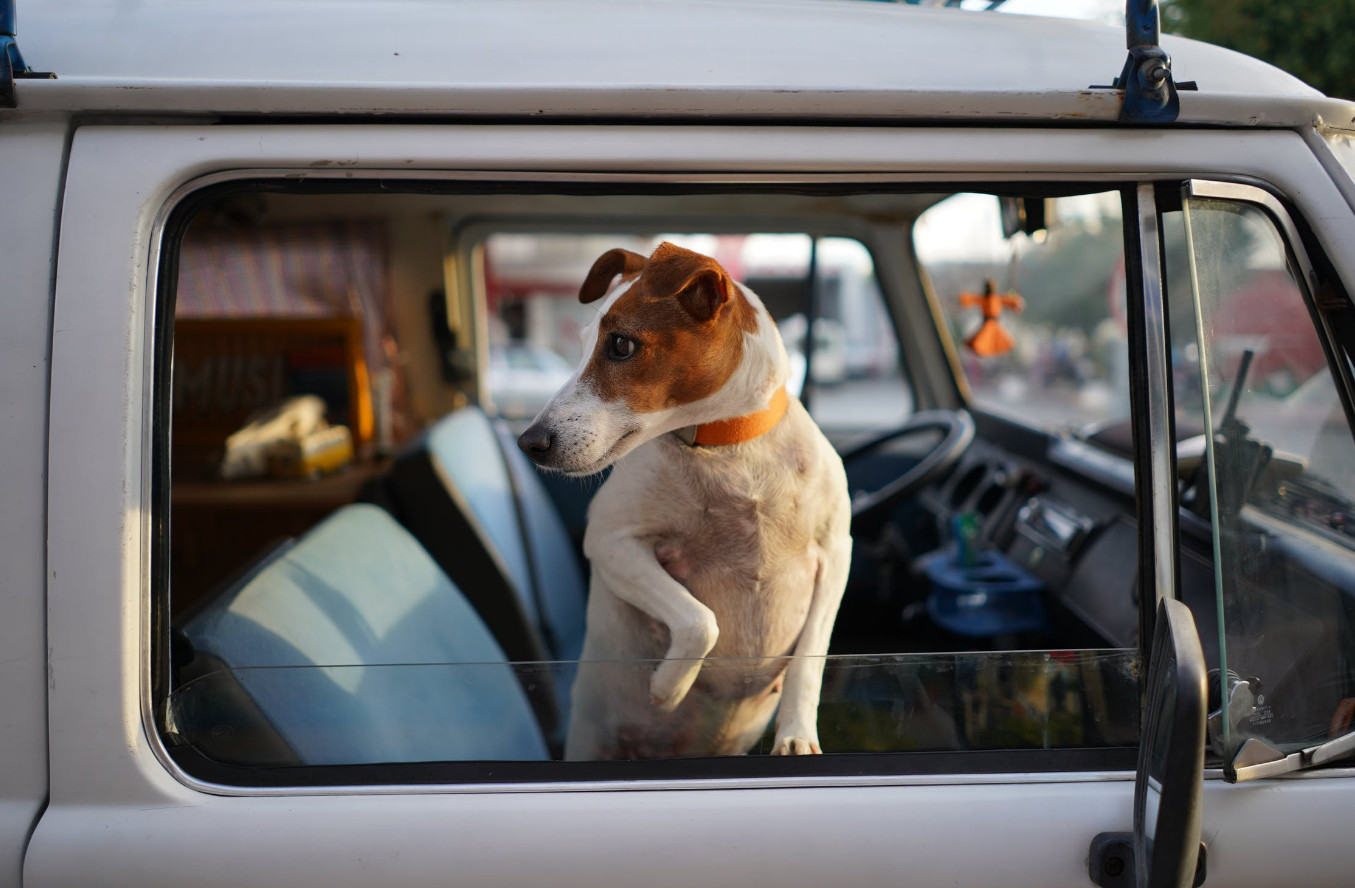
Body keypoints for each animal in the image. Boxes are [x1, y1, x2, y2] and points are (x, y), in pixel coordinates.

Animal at [517, 241, 845, 759]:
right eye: (585, 340)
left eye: (621, 345)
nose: (529, 442)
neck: (728, 450)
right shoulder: (611, 543)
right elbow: (700, 620)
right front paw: (668, 687)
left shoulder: (835, 555)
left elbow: (809, 659)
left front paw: (795, 736)